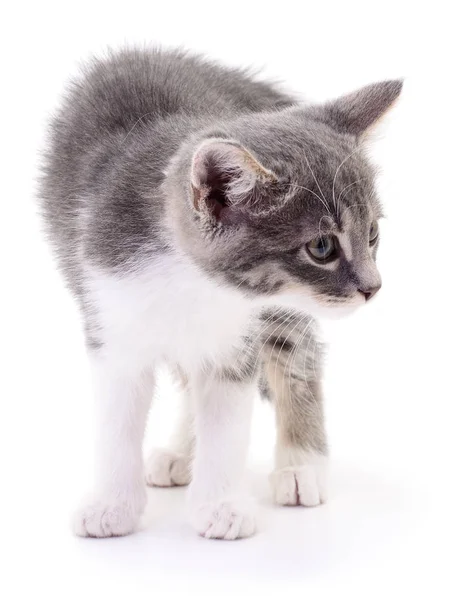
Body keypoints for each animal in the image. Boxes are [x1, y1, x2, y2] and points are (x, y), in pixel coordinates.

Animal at [40, 49, 400, 540]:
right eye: (322, 247)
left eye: (373, 235)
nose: (373, 287)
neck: (193, 284)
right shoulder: (109, 314)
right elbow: (117, 420)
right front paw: (112, 504)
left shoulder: (239, 335)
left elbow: (227, 419)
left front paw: (221, 505)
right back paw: (180, 453)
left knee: (297, 353)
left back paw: (300, 465)